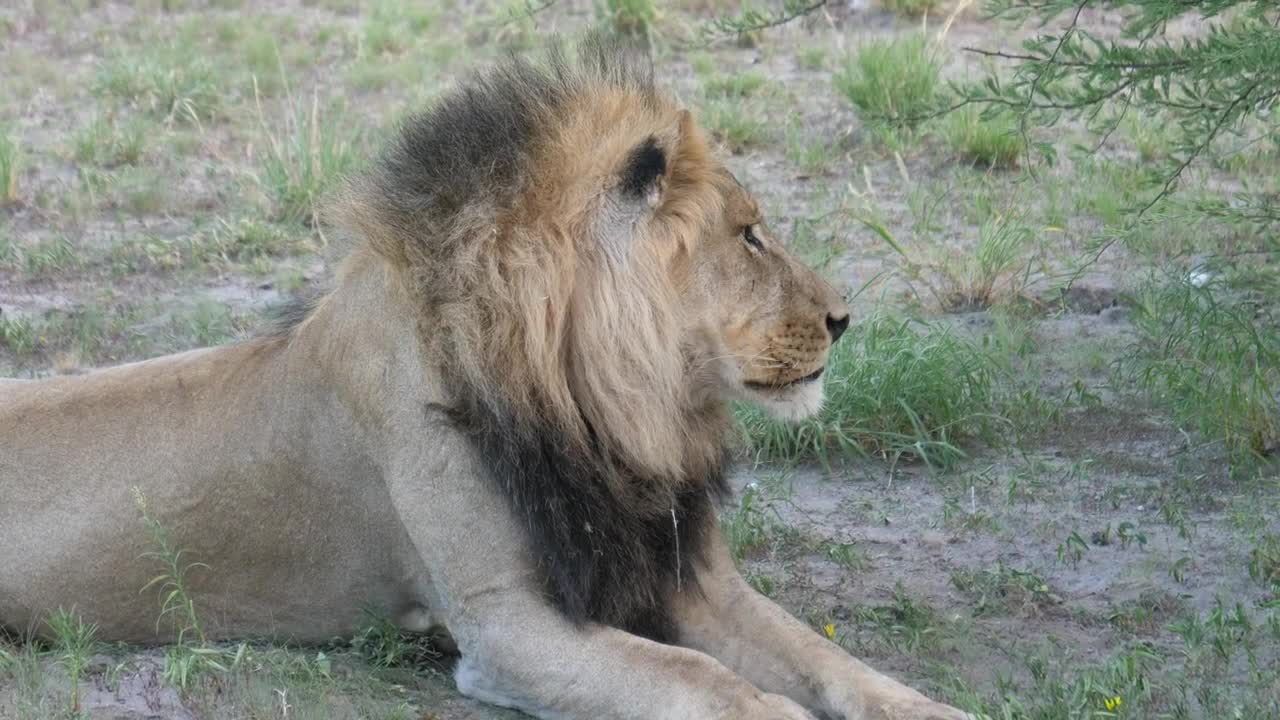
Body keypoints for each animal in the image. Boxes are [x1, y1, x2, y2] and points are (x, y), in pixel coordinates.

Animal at [0, 36, 966, 720]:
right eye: (751, 235)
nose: (843, 318)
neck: (611, 412)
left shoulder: (688, 576)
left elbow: (827, 656)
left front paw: (930, 709)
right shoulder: (506, 625)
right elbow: (701, 679)